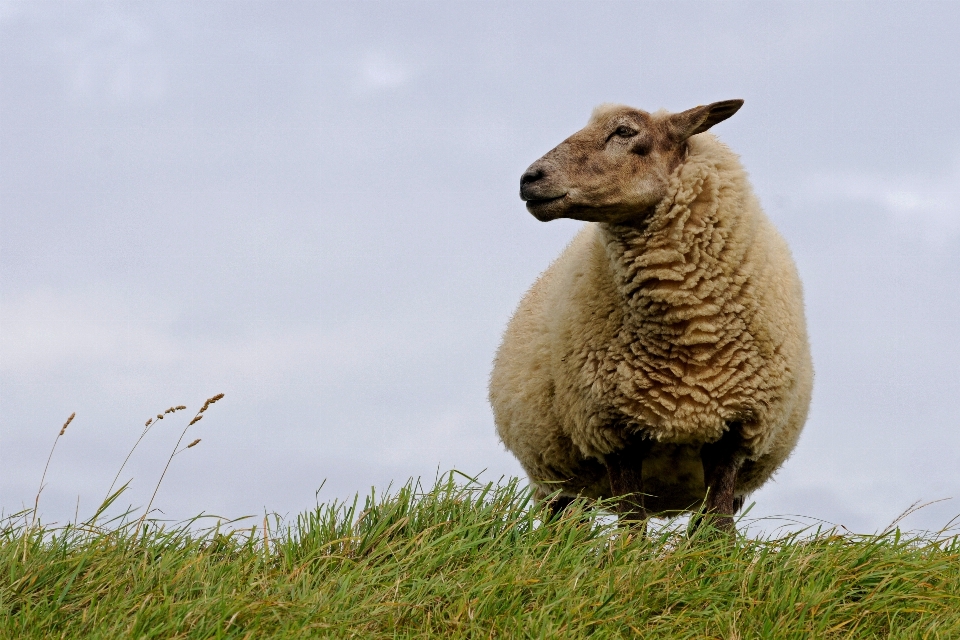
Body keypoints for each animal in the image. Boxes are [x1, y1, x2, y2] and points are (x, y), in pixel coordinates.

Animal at [492, 100, 812, 528]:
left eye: (625, 131)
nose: (529, 179)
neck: (692, 335)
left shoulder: (736, 433)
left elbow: (720, 529)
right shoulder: (611, 432)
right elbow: (632, 526)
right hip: (559, 479)